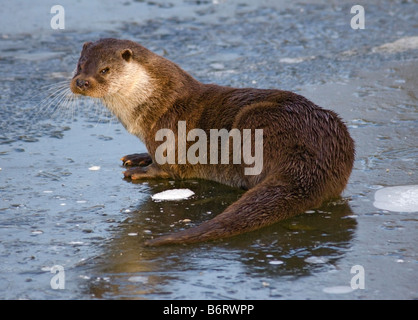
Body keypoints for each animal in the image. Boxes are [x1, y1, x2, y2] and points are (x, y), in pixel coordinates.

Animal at [70, 38, 354, 246]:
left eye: (104, 70)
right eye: (79, 65)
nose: (81, 82)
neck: (154, 101)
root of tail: (316, 157)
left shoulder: (167, 133)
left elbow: (167, 167)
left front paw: (142, 171)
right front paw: (138, 157)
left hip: (255, 121)